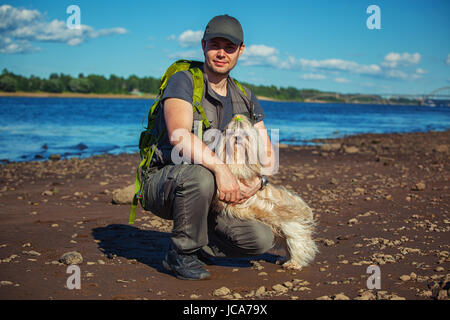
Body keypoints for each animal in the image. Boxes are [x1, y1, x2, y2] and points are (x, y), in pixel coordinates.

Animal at [213, 115, 318, 270]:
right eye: (231, 131)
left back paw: (294, 263)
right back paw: (284, 259)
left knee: (299, 246)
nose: (237, 138)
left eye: (245, 133)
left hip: (292, 229)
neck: (238, 159)